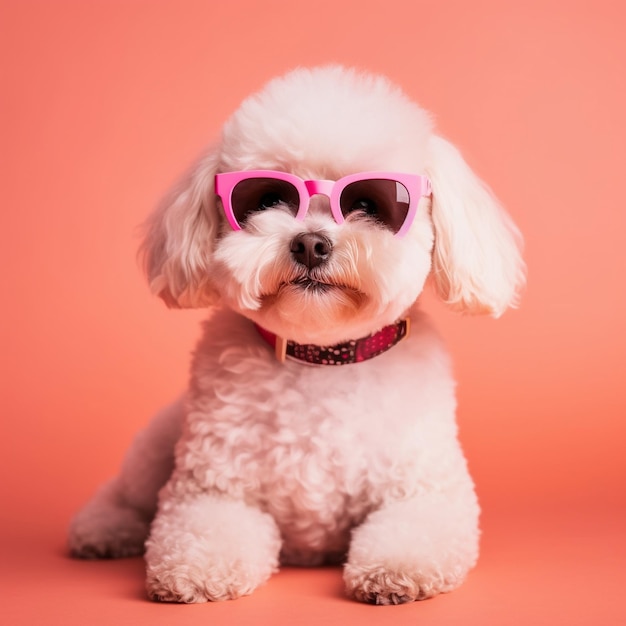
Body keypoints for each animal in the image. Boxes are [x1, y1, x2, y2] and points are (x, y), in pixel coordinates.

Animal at [68, 66, 524, 604]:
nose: (310, 243)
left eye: (368, 203)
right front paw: (193, 573)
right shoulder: (212, 489)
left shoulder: (427, 489)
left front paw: (394, 570)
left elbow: (411, 531)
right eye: (268, 199)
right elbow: (202, 533)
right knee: (125, 494)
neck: (320, 358)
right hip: (159, 444)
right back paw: (102, 528)